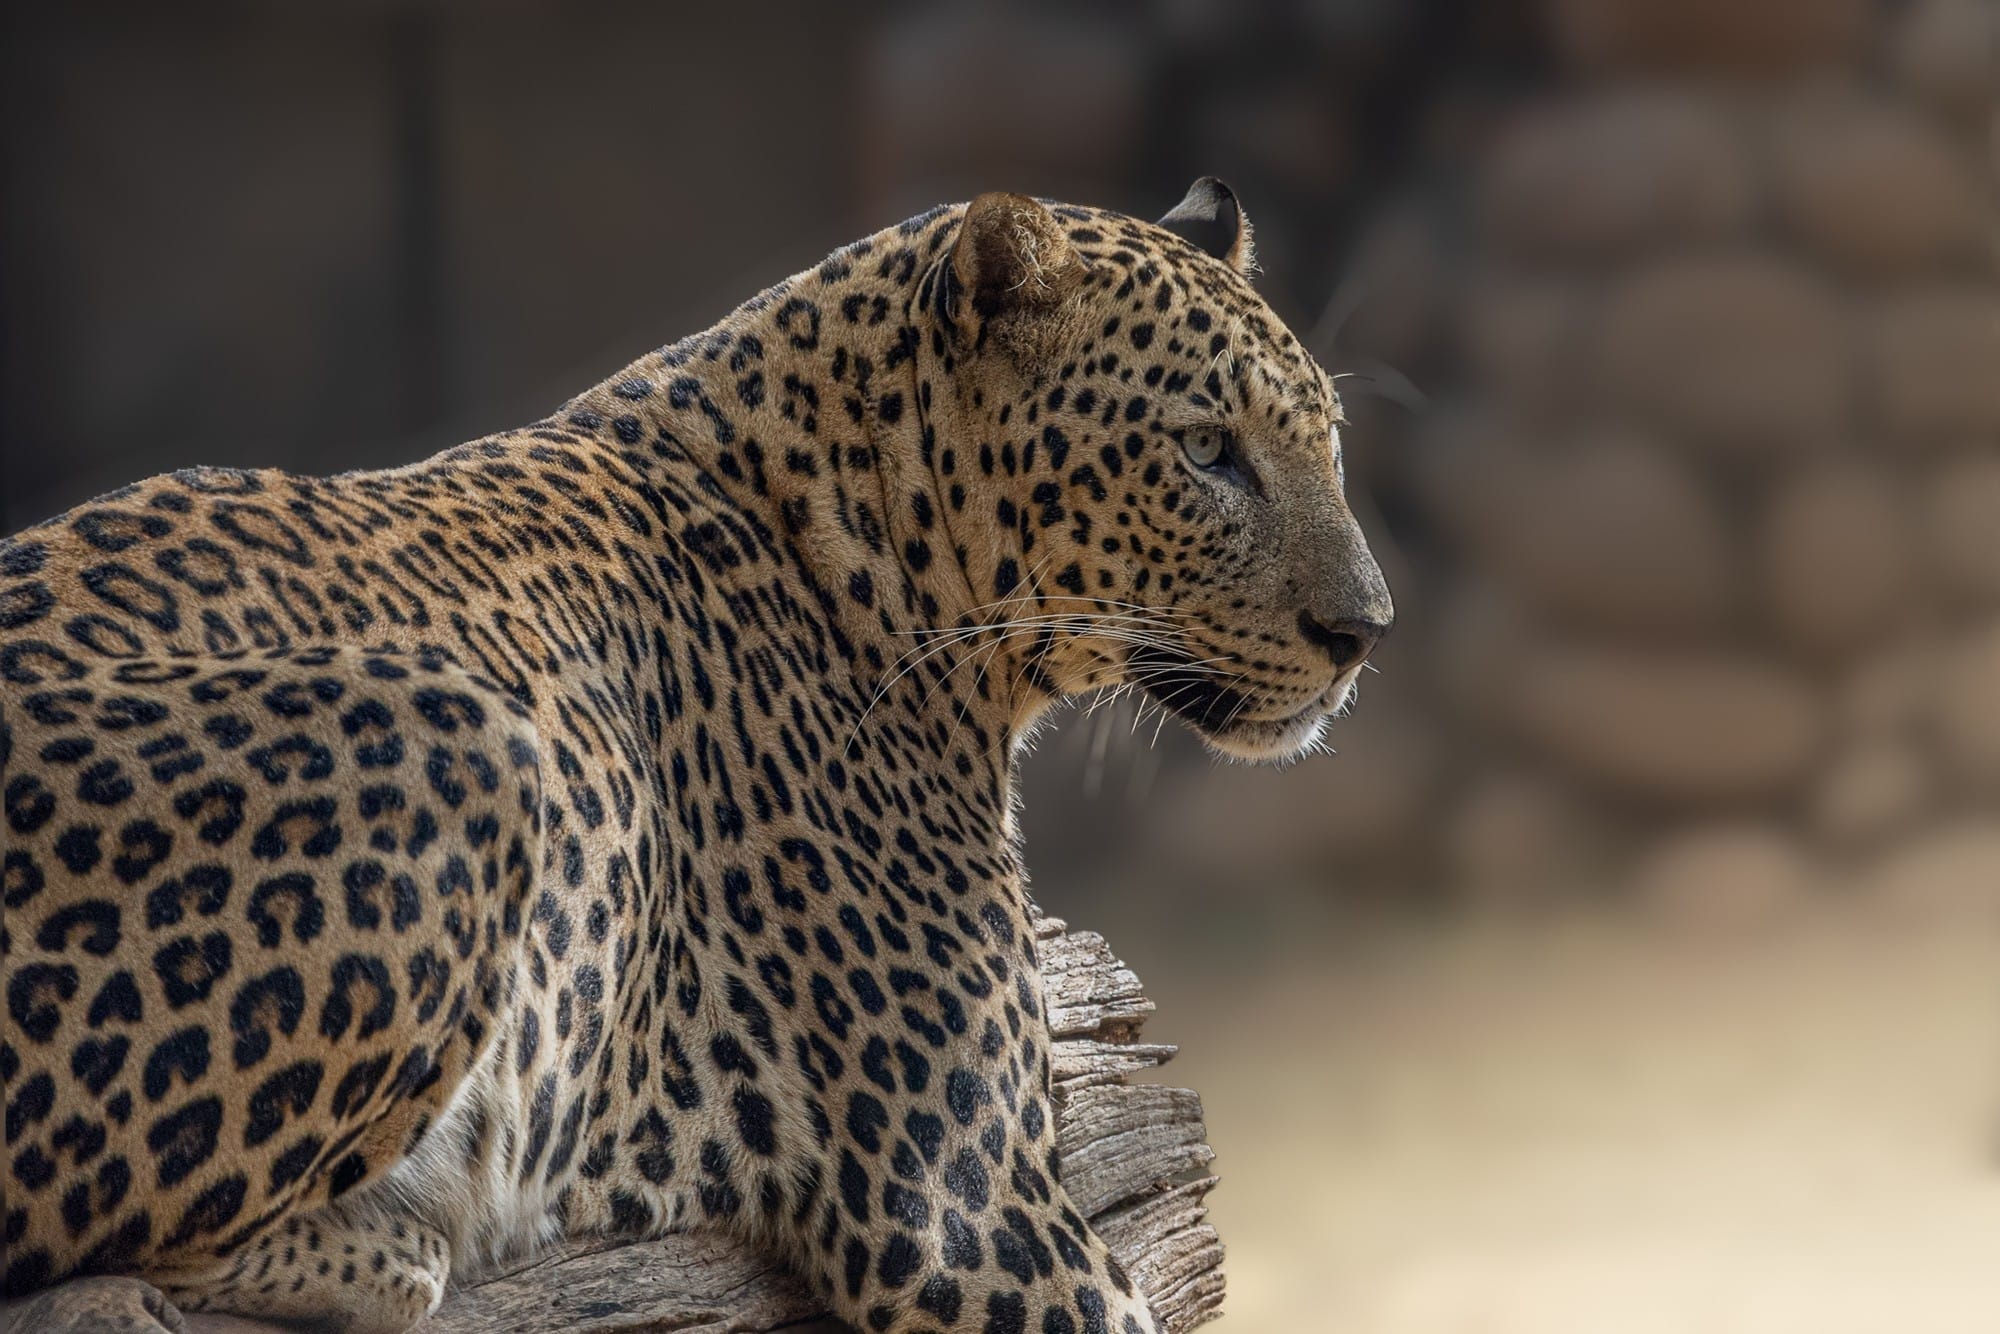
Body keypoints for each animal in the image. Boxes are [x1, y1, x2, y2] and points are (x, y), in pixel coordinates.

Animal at [0, 179, 1392, 1334]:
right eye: (1204, 448)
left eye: (1326, 437)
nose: (1365, 629)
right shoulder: (965, 1205)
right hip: (460, 734)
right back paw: (405, 1236)